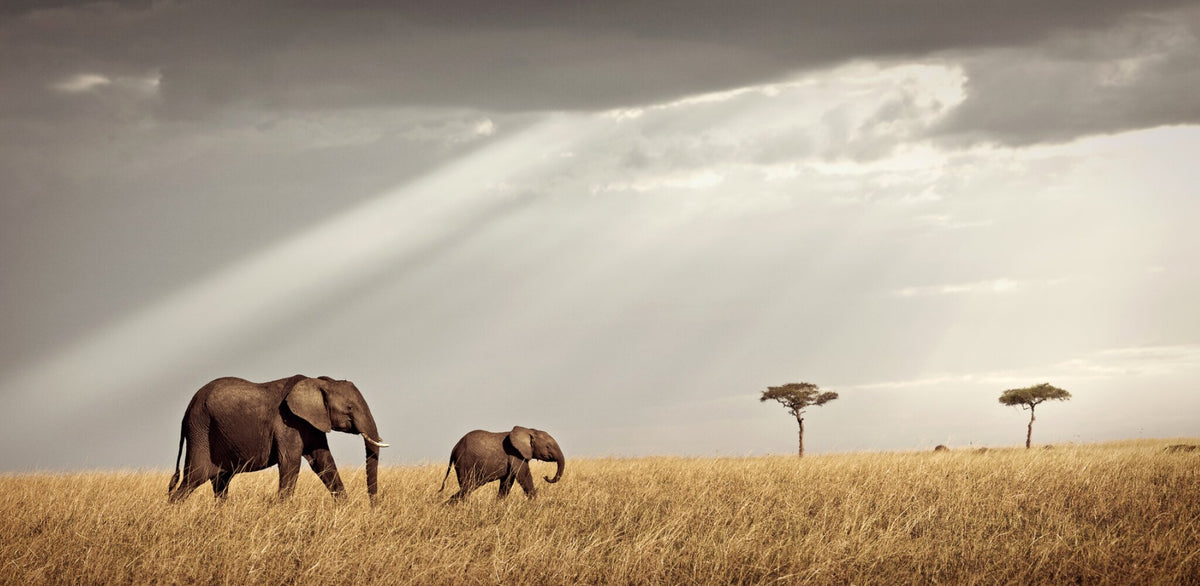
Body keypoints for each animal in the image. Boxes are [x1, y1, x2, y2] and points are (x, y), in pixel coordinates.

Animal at [167, 375, 389, 503]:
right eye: (350, 408)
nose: (373, 507)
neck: (319, 381)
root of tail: (187, 409)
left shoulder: (312, 422)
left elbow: (324, 462)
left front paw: (344, 507)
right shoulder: (287, 422)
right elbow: (290, 463)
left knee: (221, 483)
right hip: (200, 431)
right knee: (194, 478)